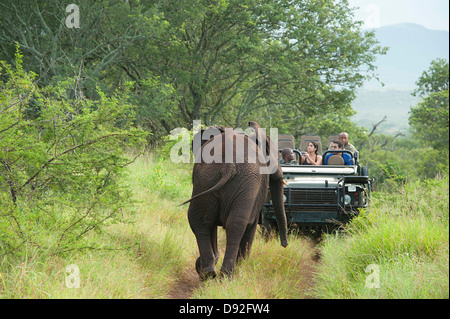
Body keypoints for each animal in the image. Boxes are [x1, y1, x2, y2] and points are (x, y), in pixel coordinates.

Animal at [182, 120, 288, 280]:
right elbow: (251, 225)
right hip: (245, 183)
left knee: (200, 220)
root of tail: (228, 166)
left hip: (206, 180)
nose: (284, 245)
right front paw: (242, 264)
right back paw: (227, 274)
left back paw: (209, 273)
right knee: (238, 224)